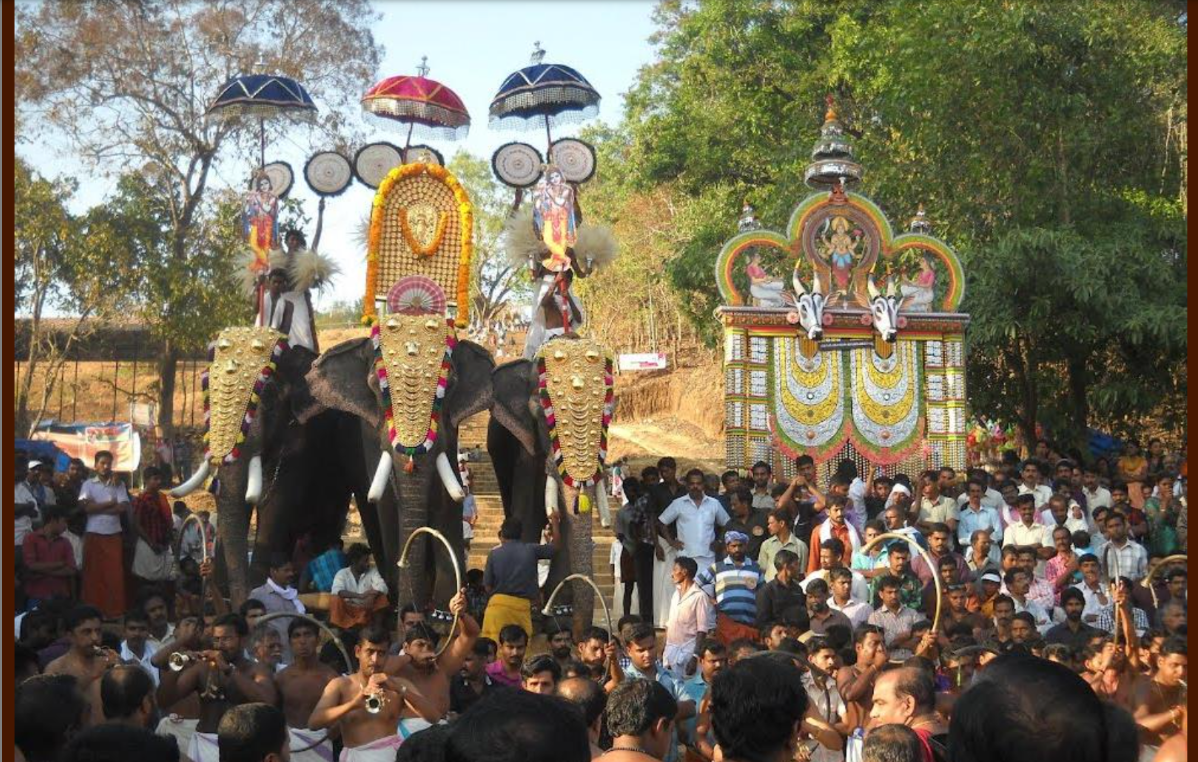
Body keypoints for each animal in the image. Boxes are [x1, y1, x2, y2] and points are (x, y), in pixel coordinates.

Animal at [168, 328, 357, 606]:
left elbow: (276, 503)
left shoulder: (302, 444)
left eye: (267, 404)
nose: (236, 603)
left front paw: (257, 586)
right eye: (207, 403)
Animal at [306, 316, 498, 613]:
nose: (411, 613)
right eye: (376, 384)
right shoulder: (371, 435)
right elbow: (386, 503)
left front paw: (446, 611)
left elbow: (447, 501)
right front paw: (401, 606)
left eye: (450, 384)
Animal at [486, 335, 613, 637]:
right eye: (543, 417)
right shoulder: (524, 441)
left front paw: (559, 618)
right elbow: (528, 511)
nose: (580, 637)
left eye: (608, 415)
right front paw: (538, 613)